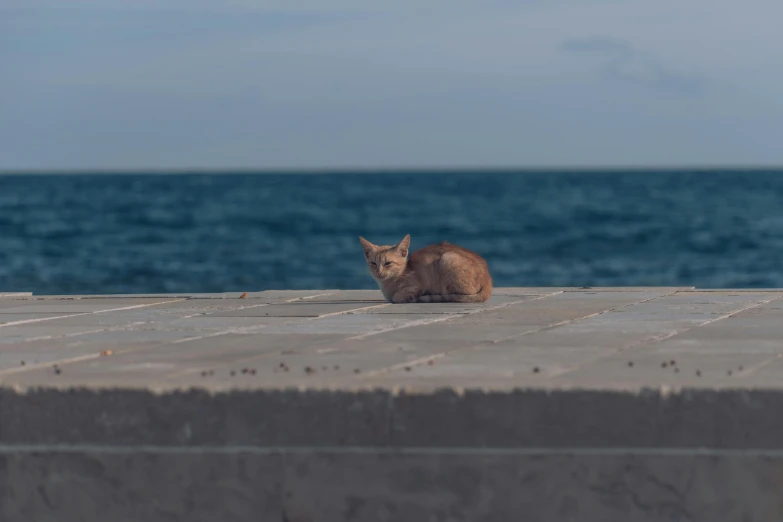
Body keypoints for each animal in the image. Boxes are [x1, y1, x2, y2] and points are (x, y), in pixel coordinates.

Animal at [360, 234, 494, 302]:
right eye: (373, 263)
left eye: (387, 263)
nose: (378, 271)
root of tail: (488, 279)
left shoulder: (416, 286)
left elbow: (397, 296)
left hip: (447, 259)